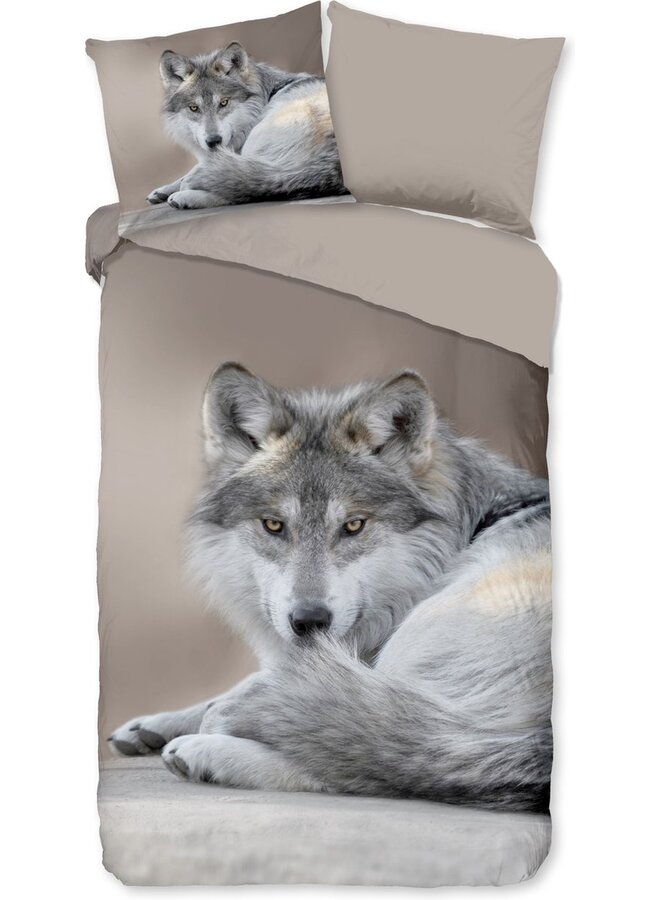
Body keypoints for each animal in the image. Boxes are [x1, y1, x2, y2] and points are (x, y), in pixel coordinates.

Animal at [110, 363, 553, 812]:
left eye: (353, 525)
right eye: (274, 524)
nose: (309, 620)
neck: (471, 527)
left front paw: (214, 719)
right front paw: (152, 724)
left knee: (383, 761)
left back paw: (205, 752)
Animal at [146, 42, 346, 210]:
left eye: (224, 102)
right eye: (194, 108)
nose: (213, 141)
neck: (266, 95)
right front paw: (161, 190)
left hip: (259, 140)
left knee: (246, 189)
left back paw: (185, 197)